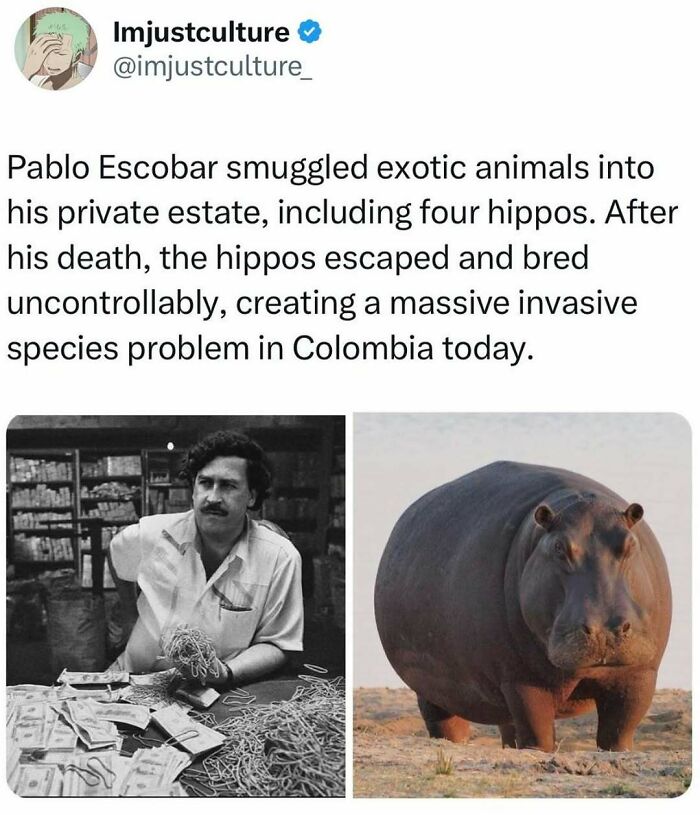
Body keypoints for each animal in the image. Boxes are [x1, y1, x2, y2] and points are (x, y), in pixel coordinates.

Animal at [374, 461, 672, 751]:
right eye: (559, 547)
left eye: (630, 544)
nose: (604, 631)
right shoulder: (521, 681)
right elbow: (538, 735)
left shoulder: (639, 675)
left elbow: (619, 734)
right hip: (432, 689)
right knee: (446, 724)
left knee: (508, 729)